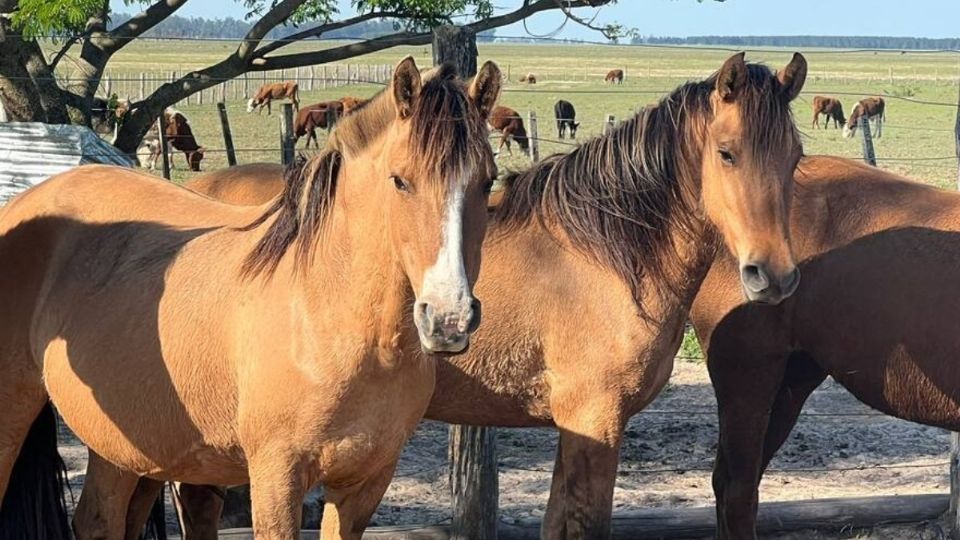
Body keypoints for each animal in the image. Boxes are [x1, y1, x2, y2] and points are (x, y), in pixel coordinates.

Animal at [0, 58, 506, 540]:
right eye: (399, 181)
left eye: (488, 181)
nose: (448, 319)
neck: (327, 318)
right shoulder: (277, 476)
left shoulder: (364, 485)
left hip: (124, 441)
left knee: (98, 521)